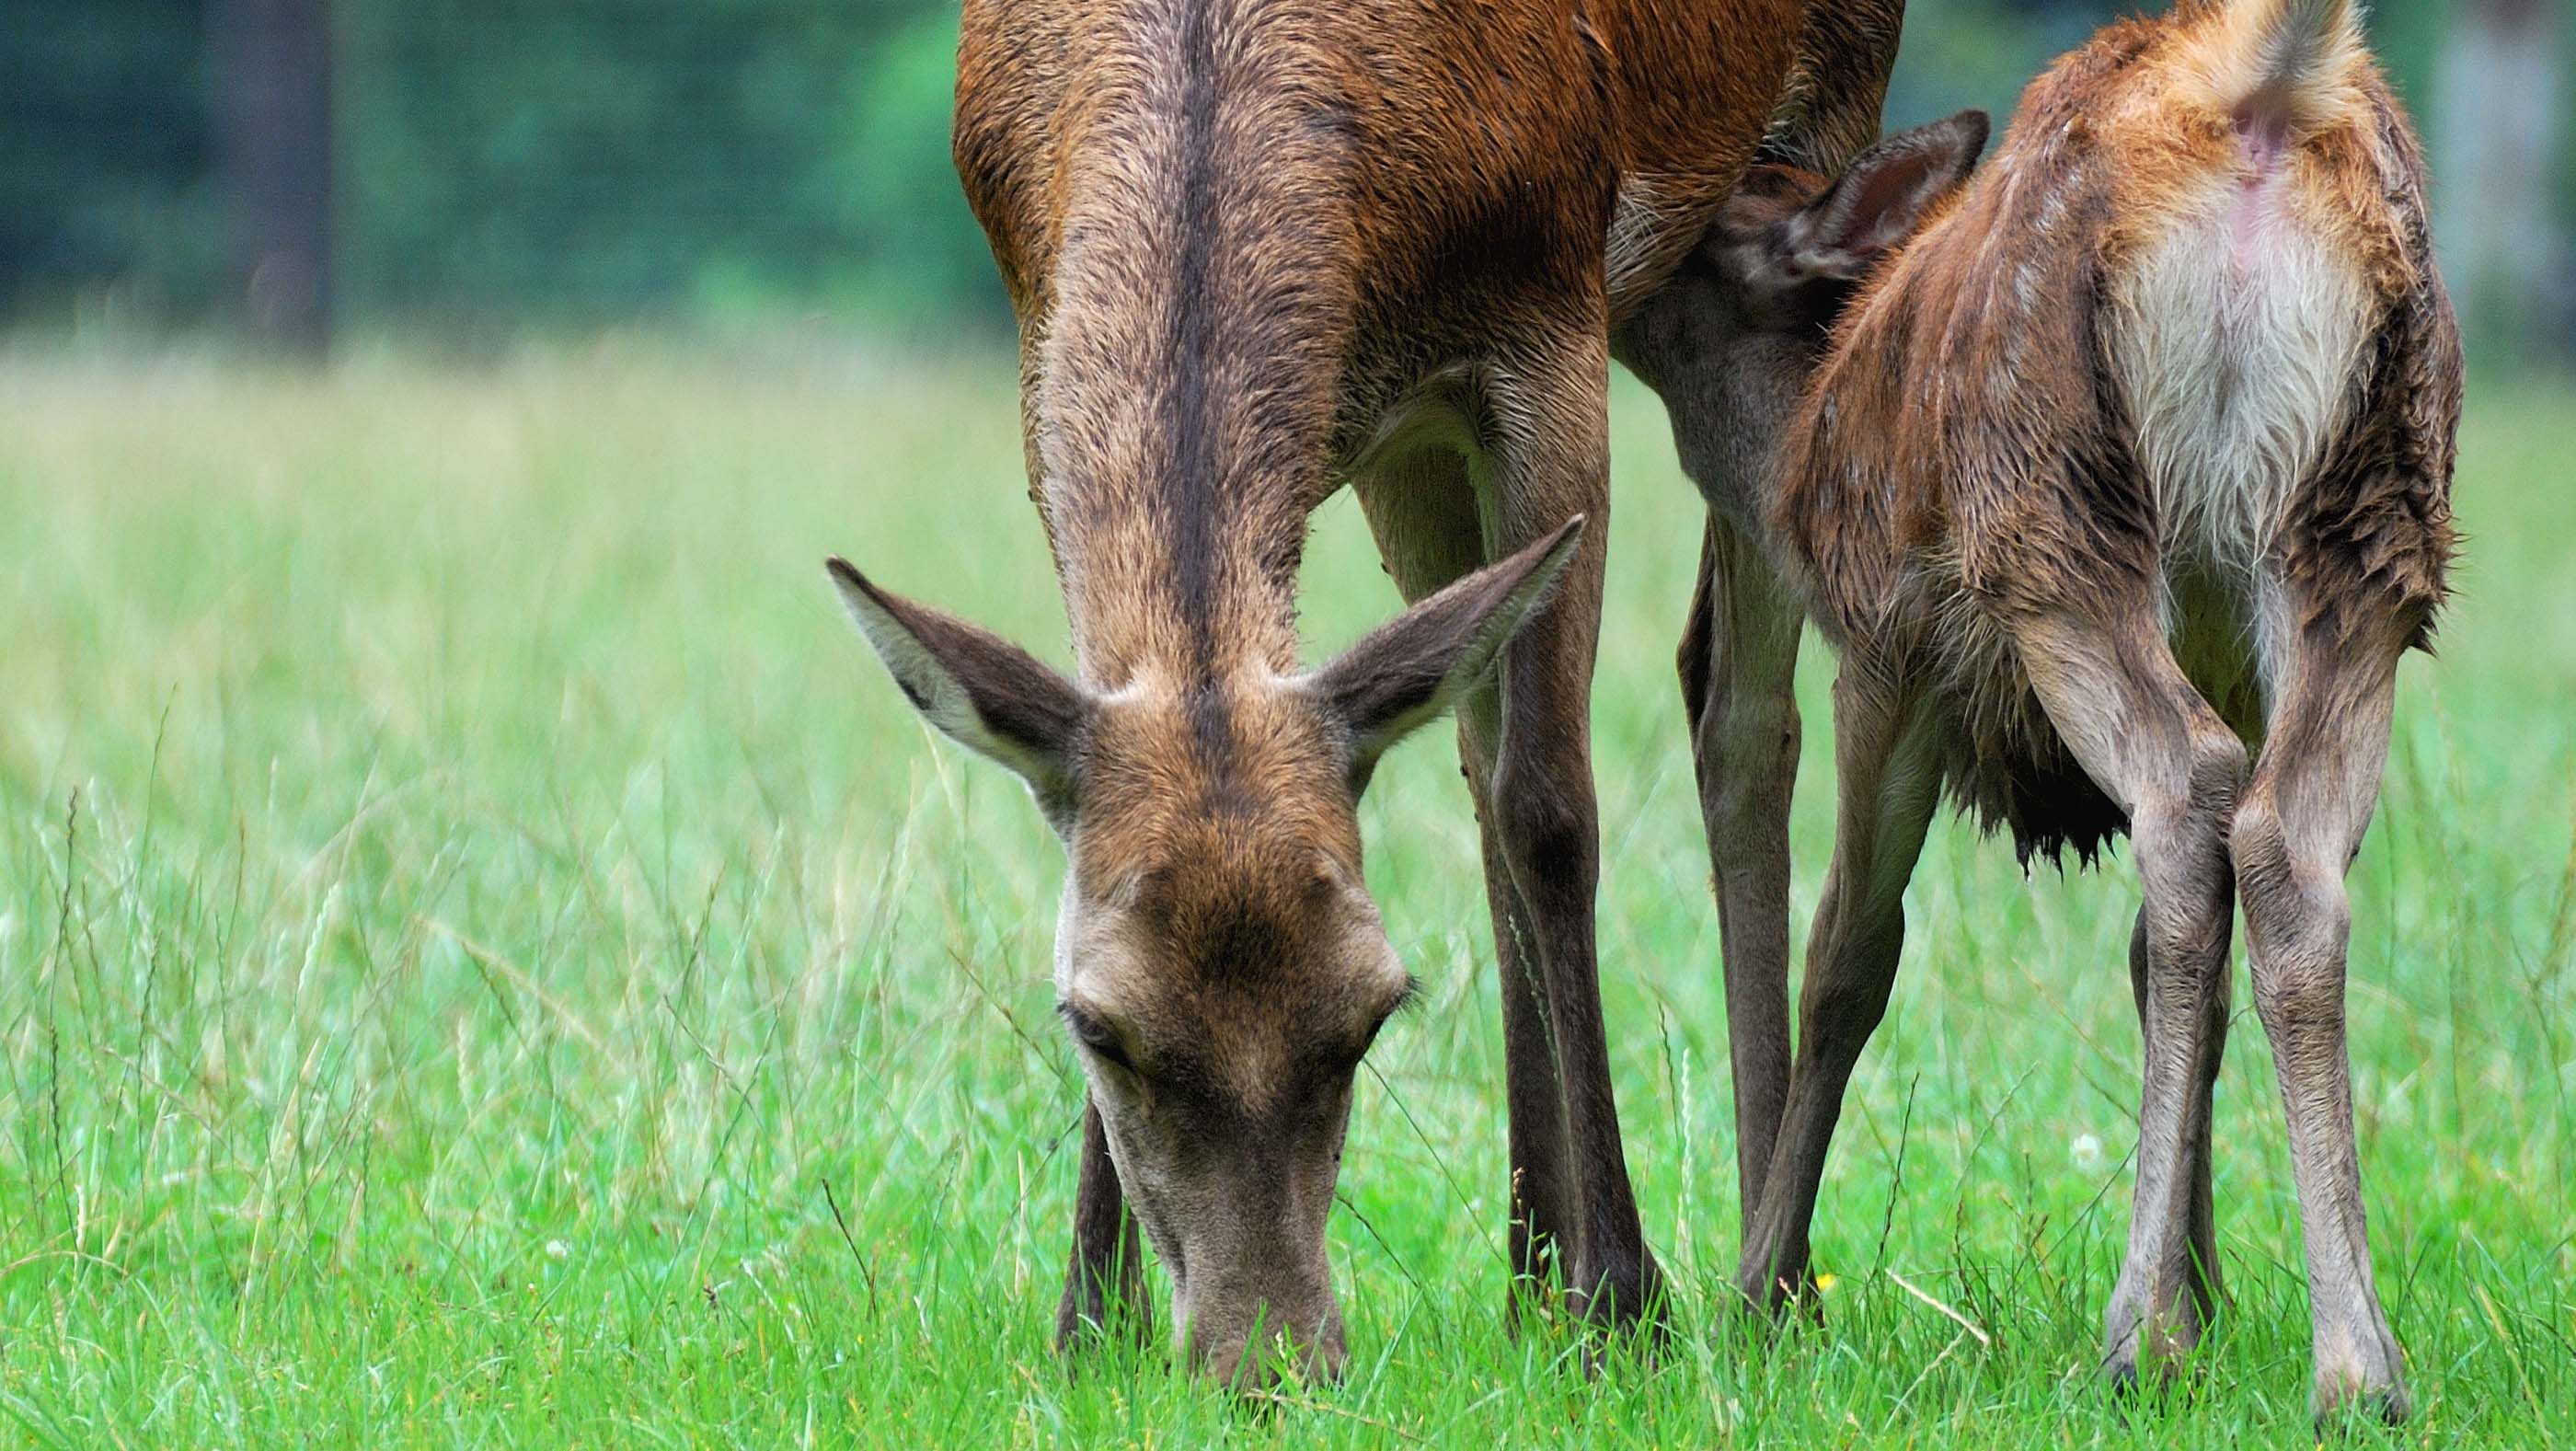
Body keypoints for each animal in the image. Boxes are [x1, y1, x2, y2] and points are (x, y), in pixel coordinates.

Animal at [824, 0, 1916, 1391]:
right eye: (1098, 1026)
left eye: (1369, 1016)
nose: (1273, 1363)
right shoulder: (1044, 361)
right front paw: (1088, 1322)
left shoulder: (1548, 319)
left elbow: (1555, 814)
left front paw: (1628, 1302)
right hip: (1414, 448)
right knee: (1478, 741)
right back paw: (1527, 1272)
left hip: (1814, 151)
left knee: (1734, 711)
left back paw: (1763, 1287)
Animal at [1627, 0, 2452, 1422]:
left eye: (1700, 229)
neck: (1793, 446)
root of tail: (2270, 97)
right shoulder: (2224, 653)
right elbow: (2165, 964)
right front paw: (2213, 1291)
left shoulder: (1890, 637)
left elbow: (1849, 954)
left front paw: (1761, 1291)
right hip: (2367, 529)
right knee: (2282, 850)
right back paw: (2354, 1366)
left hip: (2050, 506)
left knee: (2186, 801)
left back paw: (2141, 1338)